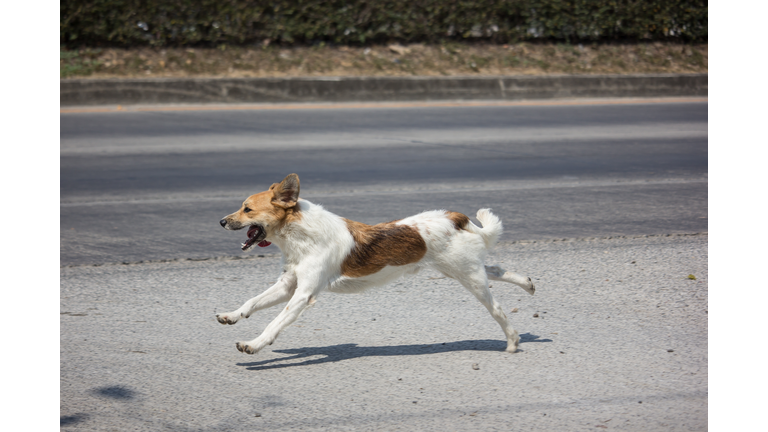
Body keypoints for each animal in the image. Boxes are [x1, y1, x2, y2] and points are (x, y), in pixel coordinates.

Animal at [218, 173, 536, 354]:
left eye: (247, 209)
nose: (221, 221)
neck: (300, 235)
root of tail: (454, 216)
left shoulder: (302, 295)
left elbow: (274, 323)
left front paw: (254, 344)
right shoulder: (287, 285)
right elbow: (252, 302)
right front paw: (232, 315)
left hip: (469, 278)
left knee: (497, 309)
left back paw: (512, 341)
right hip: (460, 270)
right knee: (495, 269)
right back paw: (527, 284)